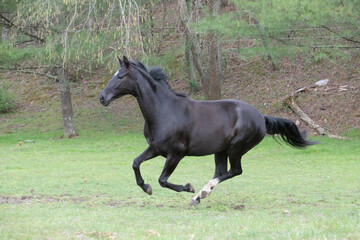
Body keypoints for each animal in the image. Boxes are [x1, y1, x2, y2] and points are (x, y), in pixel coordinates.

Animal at [99, 55, 316, 204]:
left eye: (121, 76)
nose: (102, 97)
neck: (164, 111)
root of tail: (261, 117)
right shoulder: (156, 149)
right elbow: (136, 163)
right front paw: (146, 187)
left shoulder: (175, 154)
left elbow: (162, 180)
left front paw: (187, 187)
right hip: (220, 150)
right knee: (221, 172)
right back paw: (200, 196)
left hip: (236, 149)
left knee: (234, 171)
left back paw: (200, 193)